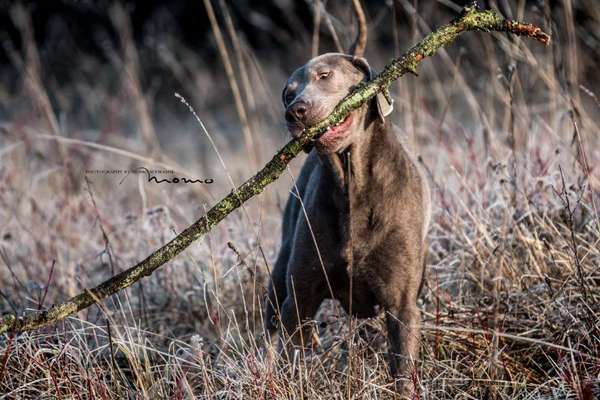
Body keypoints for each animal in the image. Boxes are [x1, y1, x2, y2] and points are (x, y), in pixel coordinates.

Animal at [266, 50, 432, 394]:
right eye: (288, 93)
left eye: (325, 76)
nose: (295, 110)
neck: (351, 185)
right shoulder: (299, 298)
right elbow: (293, 355)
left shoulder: (403, 307)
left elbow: (403, 371)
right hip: (279, 279)